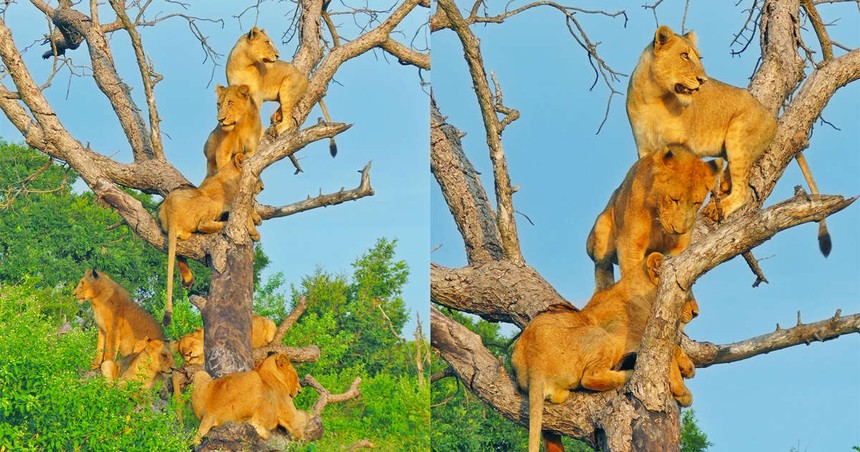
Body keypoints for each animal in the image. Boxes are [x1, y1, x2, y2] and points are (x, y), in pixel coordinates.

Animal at [227, 26, 338, 157]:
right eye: (267, 42)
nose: (278, 55)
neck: (243, 64)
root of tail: (304, 77)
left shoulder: (256, 95)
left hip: (286, 87)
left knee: (289, 118)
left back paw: (278, 127)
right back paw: (276, 116)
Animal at [588, 147, 724, 292]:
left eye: (696, 203)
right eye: (674, 199)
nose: (679, 230)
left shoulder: (678, 247)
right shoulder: (630, 245)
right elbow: (632, 277)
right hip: (599, 229)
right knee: (602, 266)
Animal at [628, 24, 828, 254]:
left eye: (698, 57)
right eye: (684, 56)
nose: (703, 81)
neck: (654, 96)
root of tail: (771, 117)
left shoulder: (683, 144)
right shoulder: (644, 148)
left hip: (737, 134)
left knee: (744, 191)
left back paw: (719, 207)